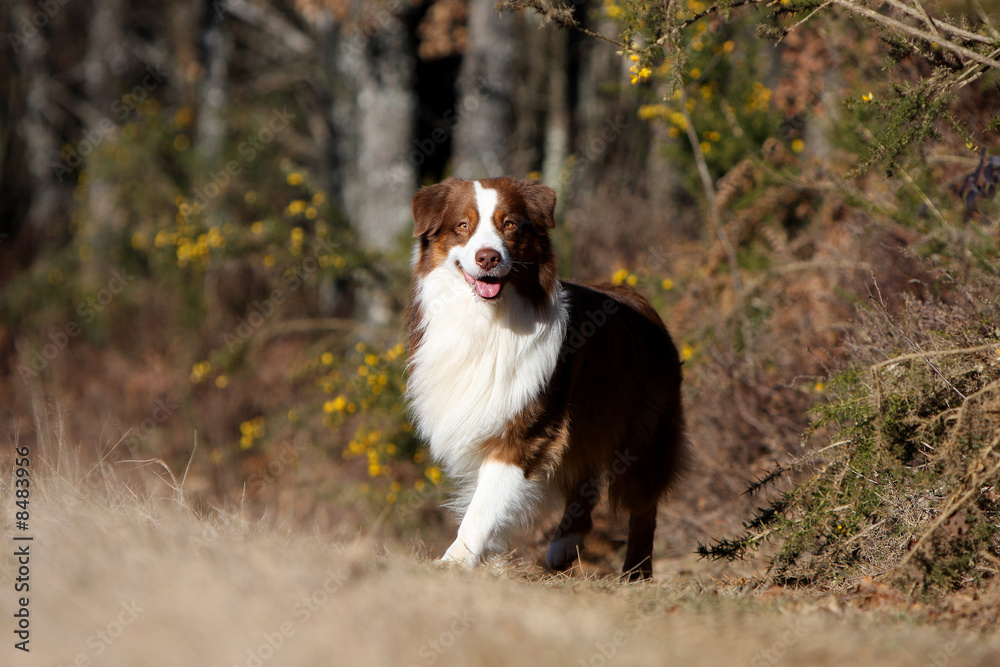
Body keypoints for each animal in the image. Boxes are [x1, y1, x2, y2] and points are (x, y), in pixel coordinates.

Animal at [406, 177, 688, 580]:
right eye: (463, 225)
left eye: (509, 224)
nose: (488, 257)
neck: (488, 318)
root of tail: (640, 299)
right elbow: (488, 500)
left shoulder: (525, 428)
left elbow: (484, 505)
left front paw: (456, 561)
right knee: (585, 477)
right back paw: (564, 546)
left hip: (645, 432)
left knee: (642, 505)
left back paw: (636, 573)